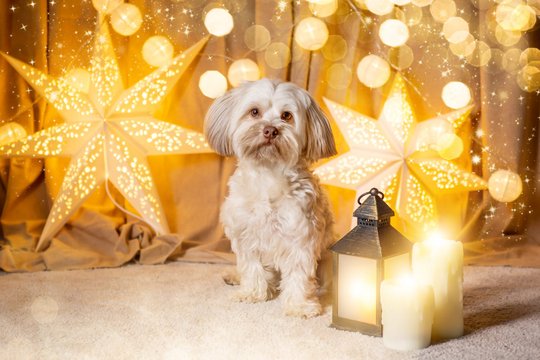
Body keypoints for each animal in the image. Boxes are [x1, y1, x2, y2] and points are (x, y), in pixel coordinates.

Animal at [205, 79, 336, 318]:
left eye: (287, 116)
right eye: (254, 112)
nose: (270, 130)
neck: (267, 175)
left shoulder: (300, 236)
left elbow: (299, 273)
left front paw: (299, 305)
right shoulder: (245, 233)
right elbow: (251, 267)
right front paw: (252, 293)